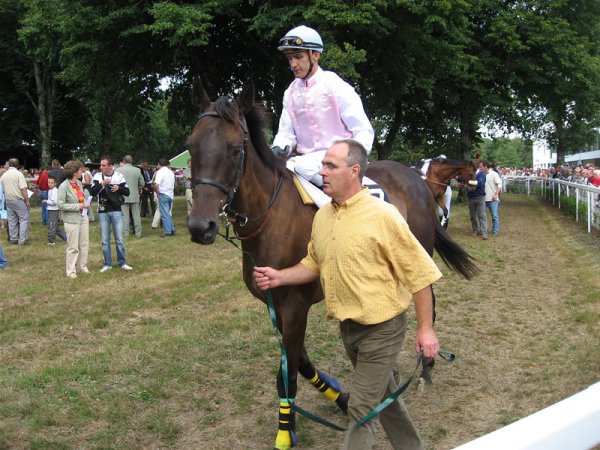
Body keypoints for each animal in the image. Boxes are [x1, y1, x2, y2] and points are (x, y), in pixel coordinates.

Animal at [188, 78, 478, 450]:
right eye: (191, 147)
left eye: (235, 149)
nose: (200, 226)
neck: (272, 217)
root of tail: (417, 179)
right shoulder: (274, 304)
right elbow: (298, 362)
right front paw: (340, 397)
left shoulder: (295, 305)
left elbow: (287, 376)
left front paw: (286, 431)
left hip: (419, 250)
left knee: (428, 301)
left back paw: (425, 366)